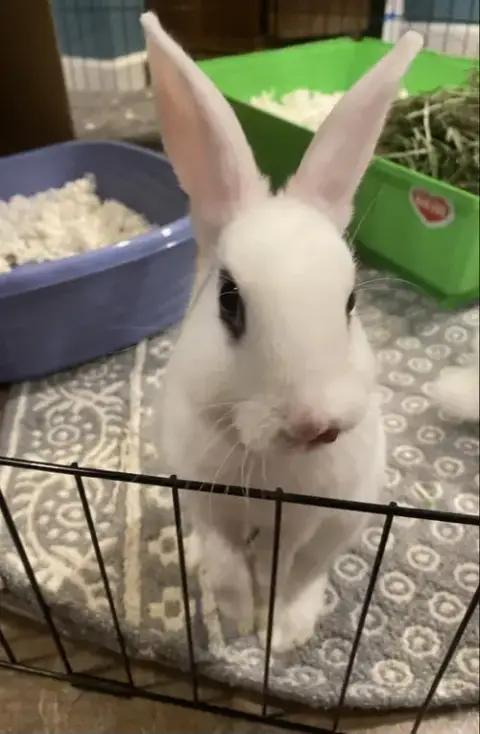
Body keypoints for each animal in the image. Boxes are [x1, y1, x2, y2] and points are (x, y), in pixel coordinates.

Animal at [141, 11, 423, 653]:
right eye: (229, 302)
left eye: (350, 303)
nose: (316, 425)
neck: (272, 462)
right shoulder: (207, 498)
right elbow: (227, 558)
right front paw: (238, 616)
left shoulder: (304, 517)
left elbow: (281, 563)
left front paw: (268, 628)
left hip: (348, 516)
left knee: (311, 570)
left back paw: (291, 631)